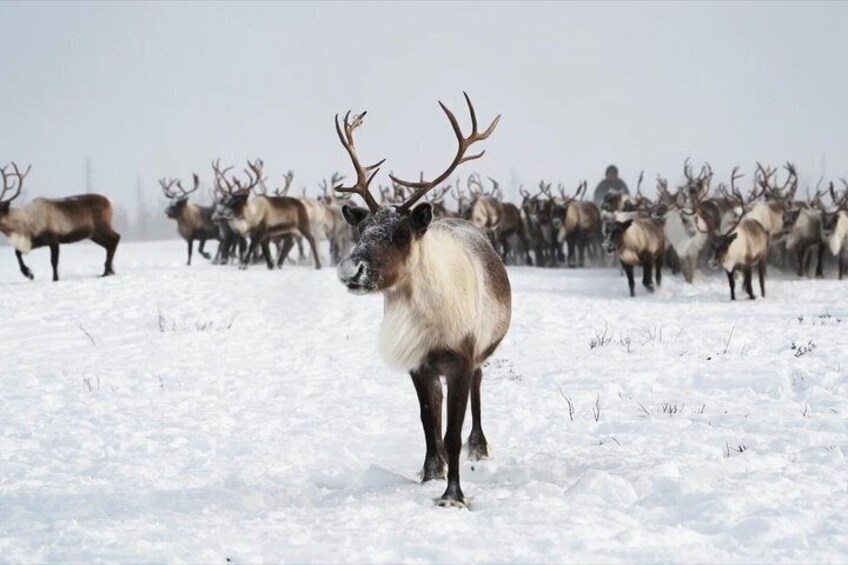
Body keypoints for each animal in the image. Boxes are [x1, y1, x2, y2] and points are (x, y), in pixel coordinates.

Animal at [334, 94, 510, 508]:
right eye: (361, 230)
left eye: (400, 233)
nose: (351, 270)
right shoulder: (418, 363)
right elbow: (429, 421)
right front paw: (432, 474)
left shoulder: (461, 359)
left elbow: (451, 432)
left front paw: (453, 495)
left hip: (480, 354)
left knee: (478, 387)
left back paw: (479, 446)